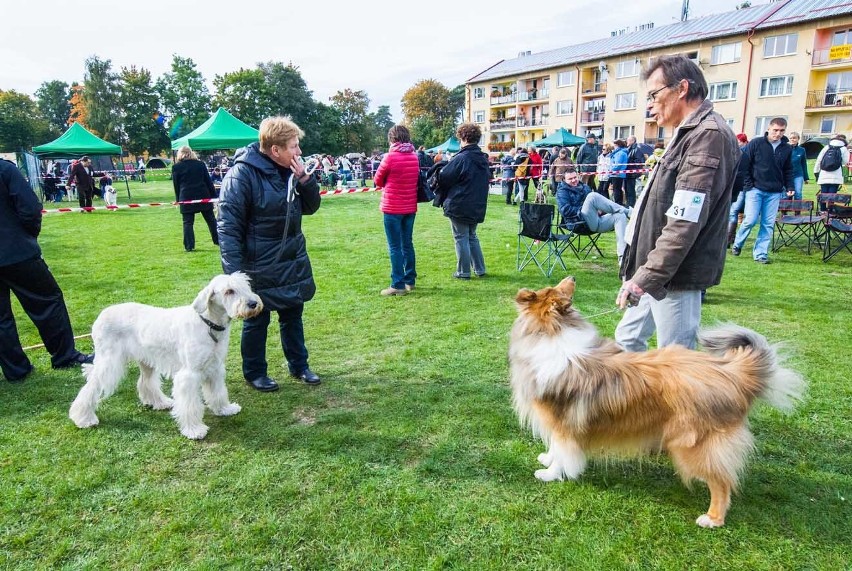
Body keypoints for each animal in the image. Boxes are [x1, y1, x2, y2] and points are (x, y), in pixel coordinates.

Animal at [69, 272, 262, 438]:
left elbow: (218, 393)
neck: (208, 323)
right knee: (90, 388)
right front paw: (194, 430)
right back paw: (83, 418)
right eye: (229, 291)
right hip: (108, 363)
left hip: (146, 361)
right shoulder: (189, 375)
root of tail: (101, 316)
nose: (253, 303)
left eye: (246, 286)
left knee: (145, 383)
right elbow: (190, 405)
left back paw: (161, 403)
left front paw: (225, 409)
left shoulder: (215, 368)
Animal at [512, 276, 804, 528]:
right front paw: (547, 459)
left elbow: (564, 452)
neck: (551, 334)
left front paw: (550, 475)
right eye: (552, 287)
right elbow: (554, 447)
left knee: (722, 482)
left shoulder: (564, 425)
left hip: (696, 446)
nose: (572, 277)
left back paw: (713, 518)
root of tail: (730, 372)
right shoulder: (558, 422)